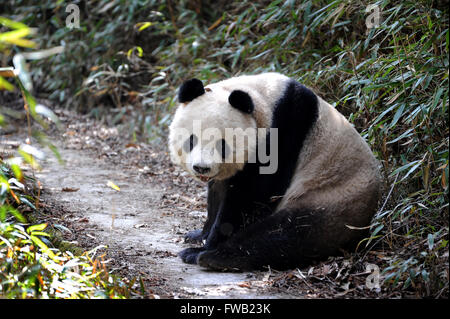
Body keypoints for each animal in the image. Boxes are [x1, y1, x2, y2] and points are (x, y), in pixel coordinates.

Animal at [167, 73, 382, 272]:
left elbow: (251, 196)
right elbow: (218, 192)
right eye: (192, 139)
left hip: (332, 197)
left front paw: (206, 245)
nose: (201, 168)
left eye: (222, 144)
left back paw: (210, 257)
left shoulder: (284, 132)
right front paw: (199, 235)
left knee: (287, 232)